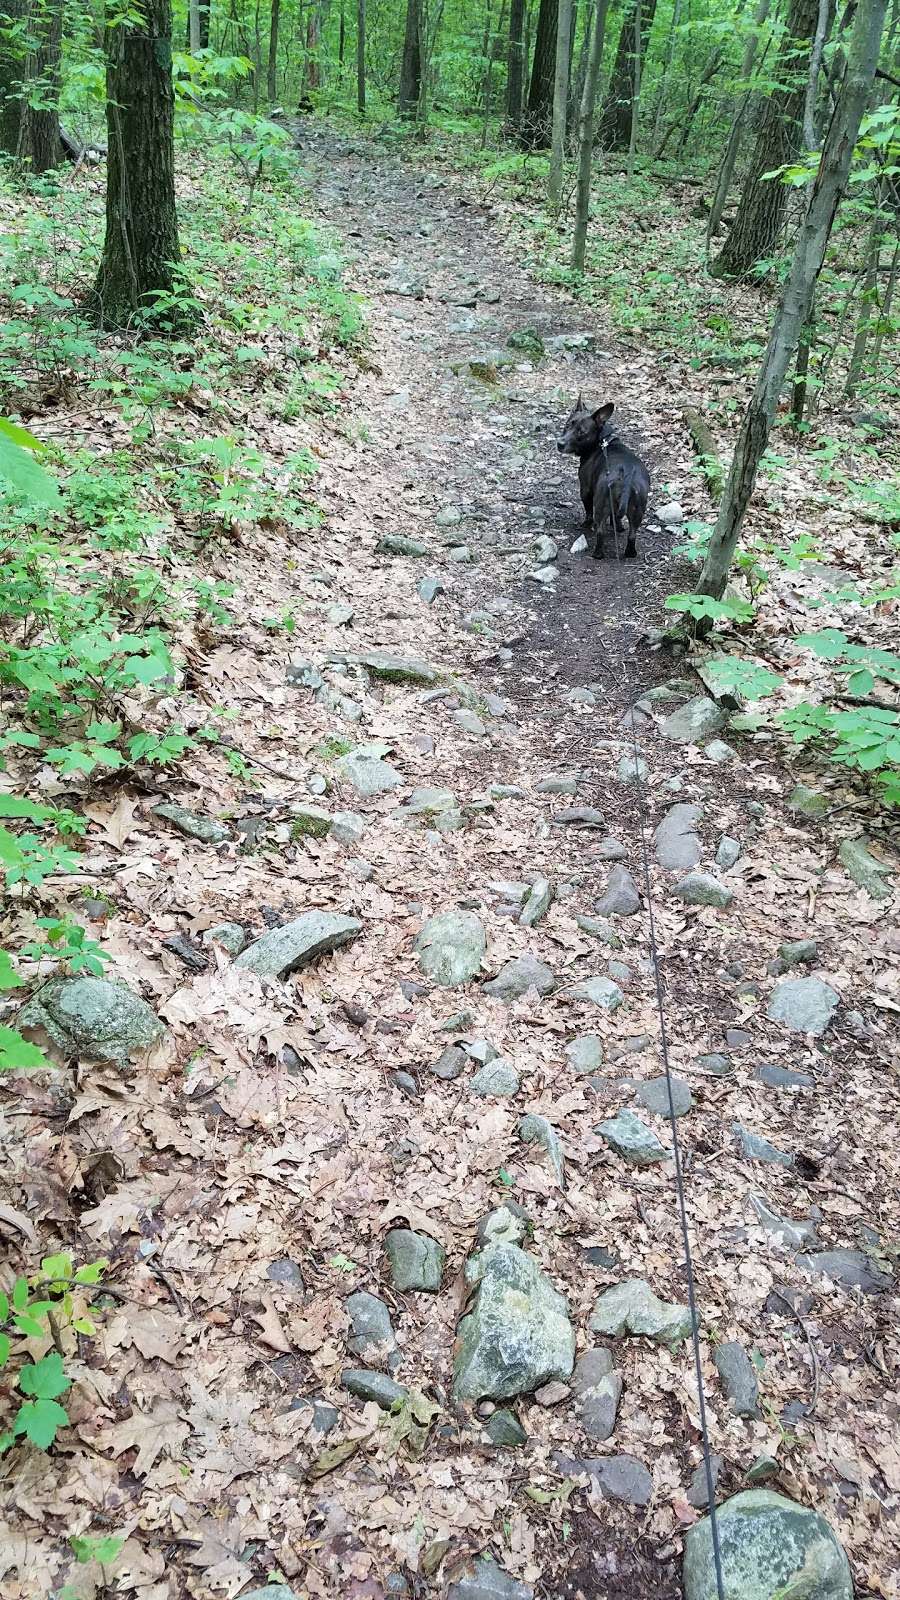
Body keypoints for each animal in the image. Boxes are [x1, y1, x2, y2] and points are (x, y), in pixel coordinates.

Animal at [554, 400, 643, 563]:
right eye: (567, 425)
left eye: (581, 432)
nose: (560, 443)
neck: (603, 441)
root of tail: (626, 476)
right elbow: (616, 519)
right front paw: (618, 527)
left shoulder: (586, 490)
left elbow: (588, 511)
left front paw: (585, 524)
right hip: (637, 510)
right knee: (632, 534)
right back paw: (630, 553)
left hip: (600, 504)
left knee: (600, 531)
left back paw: (597, 554)